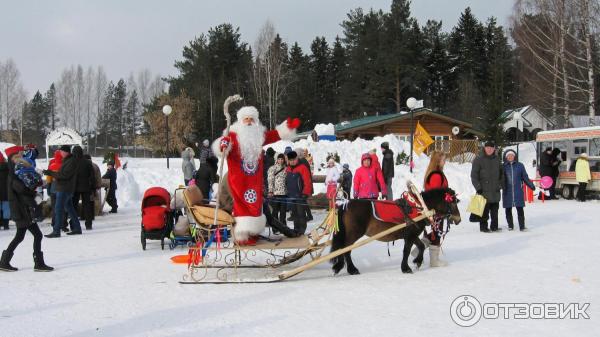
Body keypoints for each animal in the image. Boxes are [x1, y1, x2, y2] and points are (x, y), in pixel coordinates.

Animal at [330, 188, 462, 274]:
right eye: (452, 202)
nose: (458, 219)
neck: (419, 207)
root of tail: (345, 204)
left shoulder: (412, 235)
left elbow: (421, 246)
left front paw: (417, 261)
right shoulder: (410, 236)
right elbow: (406, 251)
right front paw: (406, 268)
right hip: (354, 233)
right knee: (346, 249)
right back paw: (351, 269)